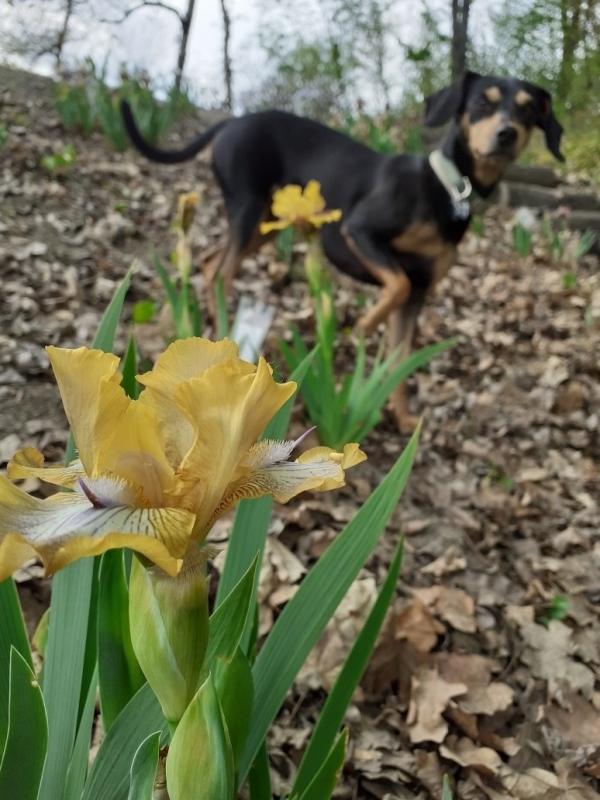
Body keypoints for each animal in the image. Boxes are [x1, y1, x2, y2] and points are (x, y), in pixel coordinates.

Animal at [122, 74, 564, 434]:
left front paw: (403, 416)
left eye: (527, 109)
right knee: (219, 270)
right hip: (249, 208)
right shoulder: (360, 231)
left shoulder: (420, 293)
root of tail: (231, 121)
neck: (446, 187)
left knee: (209, 260)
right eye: (482, 102)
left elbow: (400, 358)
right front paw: (361, 328)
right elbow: (396, 285)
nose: (506, 133)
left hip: (264, 223)